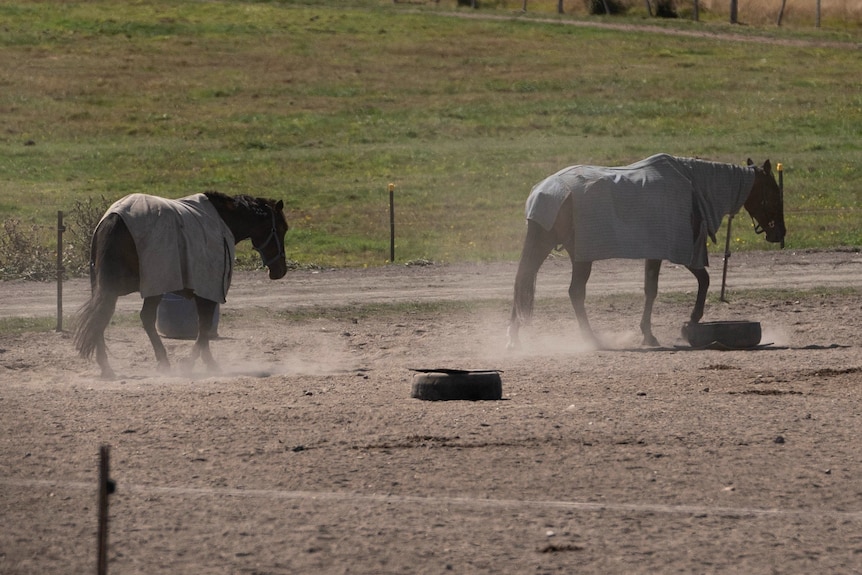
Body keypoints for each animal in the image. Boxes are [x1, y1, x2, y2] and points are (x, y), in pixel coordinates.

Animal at [75, 190, 290, 378]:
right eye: (282, 228)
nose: (281, 270)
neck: (222, 222)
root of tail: (114, 219)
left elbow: (203, 329)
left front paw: (207, 362)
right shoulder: (207, 292)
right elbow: (203, 329)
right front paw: (193, 362)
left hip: (109, 288)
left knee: (101, 318)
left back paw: (107, 367)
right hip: (150, 287)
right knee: (136, 318)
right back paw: (158, 361)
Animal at [510, 153, 788, 348]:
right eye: (775, 193)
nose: (780, 233)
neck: (692, 186)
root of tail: (544, 193)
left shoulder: (658, 252)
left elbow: (654, 288)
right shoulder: (678, 251)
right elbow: (691, 282)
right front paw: (683, 323)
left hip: (541, 245)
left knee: (522, 283)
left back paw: (514, 338)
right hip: (581, 257)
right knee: (574, 292)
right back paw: (591, 338)